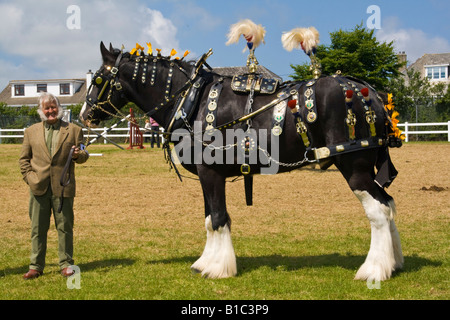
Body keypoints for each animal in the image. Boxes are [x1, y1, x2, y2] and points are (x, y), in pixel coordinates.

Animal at [80, 23, 404, 282]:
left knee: (379, 210)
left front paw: (218, 268)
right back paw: (394, 263)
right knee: (388, 204)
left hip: (354, 166)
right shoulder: (206, 176)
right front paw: (205, 262)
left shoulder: (211, 173)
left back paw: (374, 269)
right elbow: (209, 219)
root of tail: (371, 94)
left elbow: (219, 217)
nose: (83, 115)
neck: (191, 100)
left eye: (97, 80)